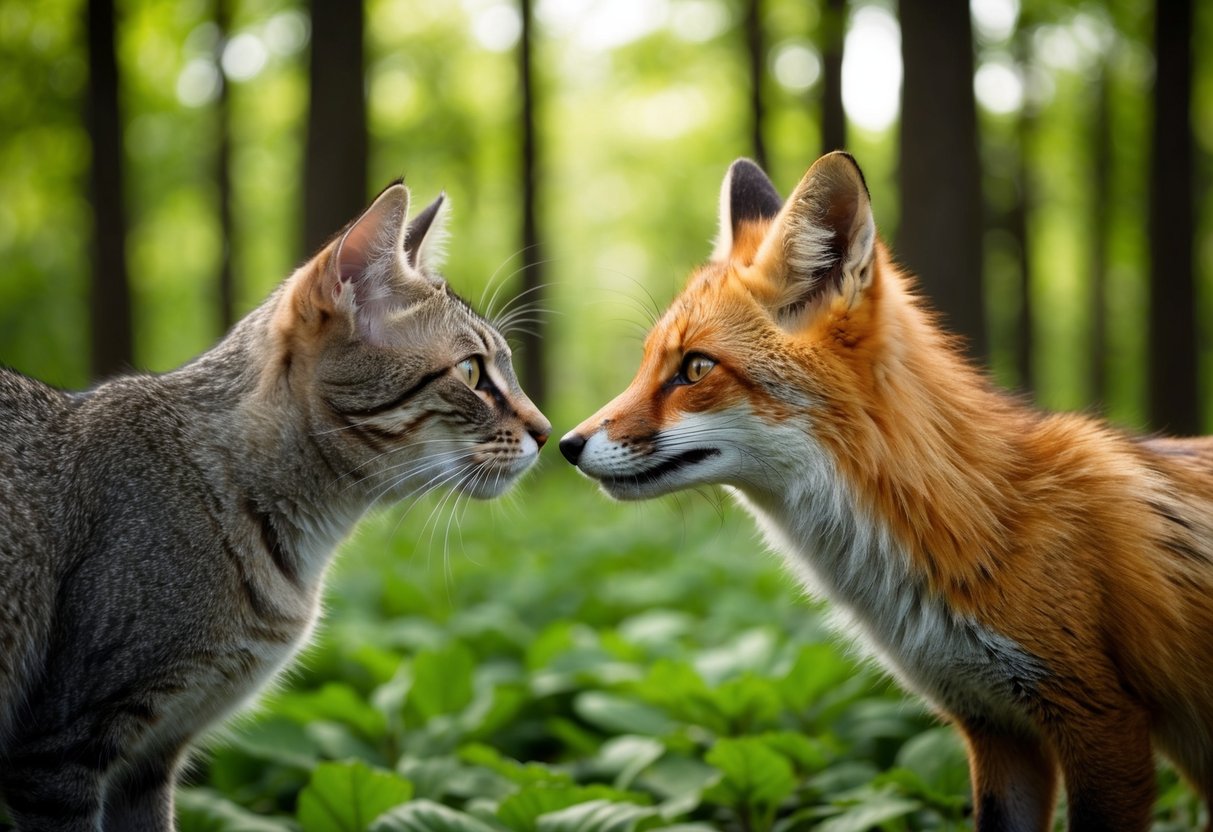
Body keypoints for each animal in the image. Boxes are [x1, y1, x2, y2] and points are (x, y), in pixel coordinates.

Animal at [558, 151, 1213, 831]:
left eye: (694, 368)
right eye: (646, 364)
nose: (566, 443)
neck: (970, 522)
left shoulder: (1099, 724)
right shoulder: (995, 727)